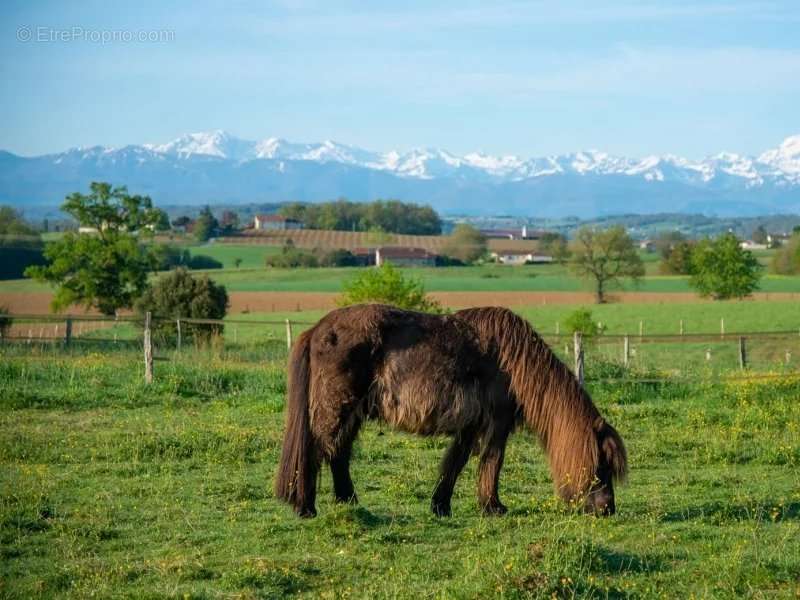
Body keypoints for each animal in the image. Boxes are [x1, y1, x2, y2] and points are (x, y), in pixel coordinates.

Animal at [274, 304, 624, 516]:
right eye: (602, 465)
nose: (607, 509)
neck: (514, 362)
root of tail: (317, 329)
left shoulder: (471, 425)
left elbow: (455, 462)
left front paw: (441, 505)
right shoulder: (497, 424)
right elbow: (492, 462)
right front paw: (492, 507)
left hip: (352, 413)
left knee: (338, 453)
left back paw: (349, 502)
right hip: (337, 408)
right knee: (317, 450)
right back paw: (306, 507)